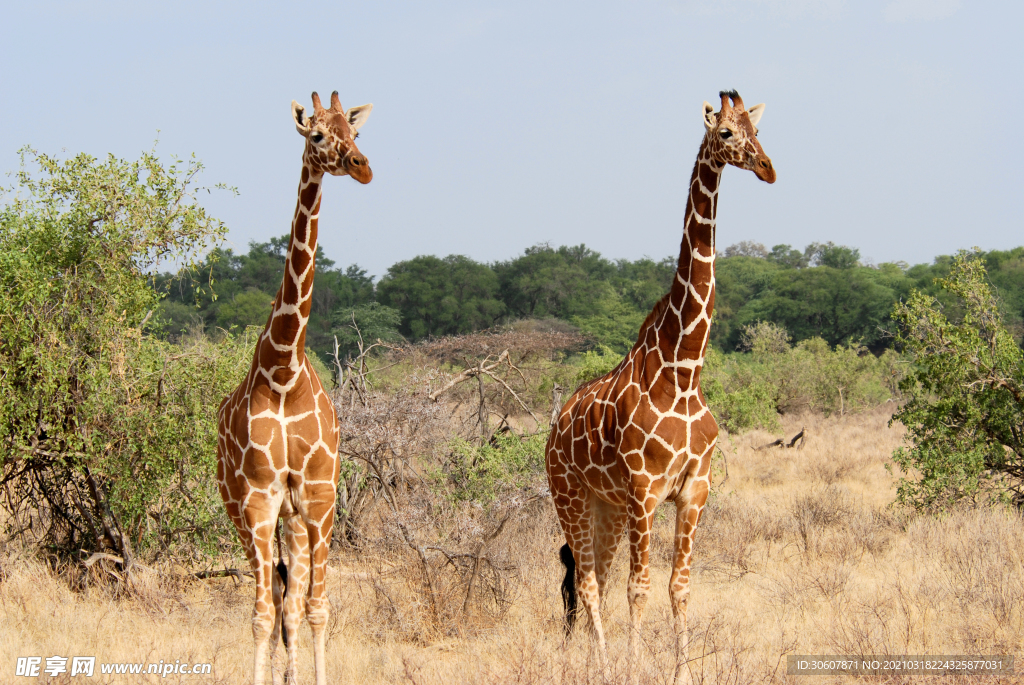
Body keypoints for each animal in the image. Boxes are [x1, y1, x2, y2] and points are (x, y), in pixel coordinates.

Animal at [216, 89, 372, 683]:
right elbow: (261, 613)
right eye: (317, 135)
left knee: (295, 601)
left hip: (295, 519)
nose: (363, 166)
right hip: (242, 512)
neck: (283, 372)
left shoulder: (319, 496)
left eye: (355, 133)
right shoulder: (259, 499)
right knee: (276, 601)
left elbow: (317, 608)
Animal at [548, 90, 770, 683]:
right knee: (588, 582)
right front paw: (633, 667)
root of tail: (554, 427)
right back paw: (604, 667)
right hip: (569, 495)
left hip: (605, 506)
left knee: (594, 578)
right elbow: (640, 587)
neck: (684, 370)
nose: (768, 168)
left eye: (757, 129)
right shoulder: (645, 490)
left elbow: (679, 586)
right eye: (726, 134)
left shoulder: (694, 488)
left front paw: (682, 671)